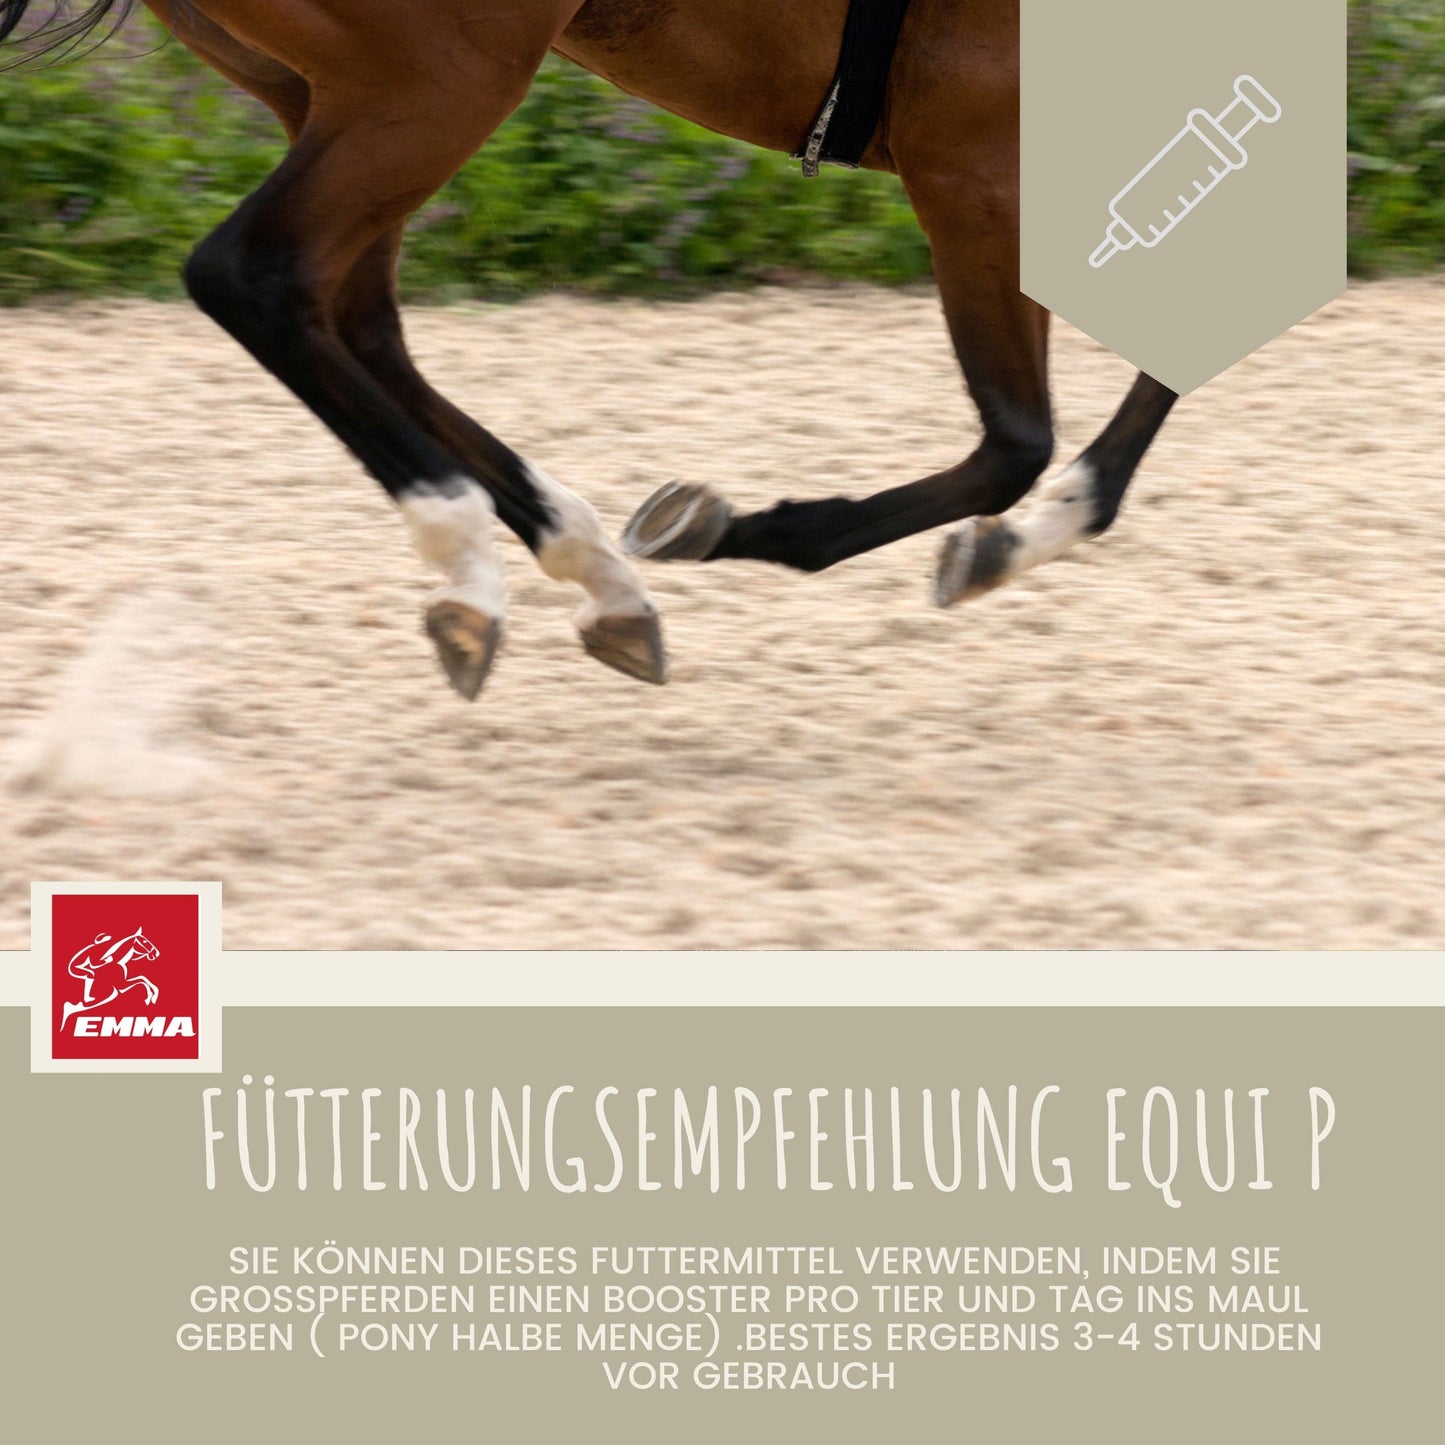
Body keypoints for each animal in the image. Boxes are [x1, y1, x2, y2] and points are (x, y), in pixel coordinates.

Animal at [1, 1, 1178, 698]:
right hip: (439, 76)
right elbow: (1017, 434)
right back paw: (472, 564)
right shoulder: (977, 160)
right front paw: (760, 530)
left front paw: (1011, 541)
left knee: (359, 315)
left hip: (335, 85)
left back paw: (592, 571)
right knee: (262, 277)